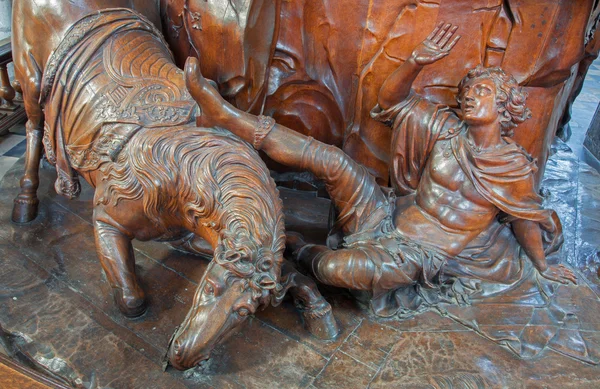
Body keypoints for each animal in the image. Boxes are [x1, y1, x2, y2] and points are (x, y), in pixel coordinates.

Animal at [10, 3, 338, 370]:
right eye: (209, 288)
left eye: (243, 314)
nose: (182, 358)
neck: (182, 170)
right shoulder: (108, 219)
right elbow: (131, 299)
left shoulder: (190, 235)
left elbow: (291, 271)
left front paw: (315, 306)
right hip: (30, 78)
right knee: (33, 127)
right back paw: (25, 202)